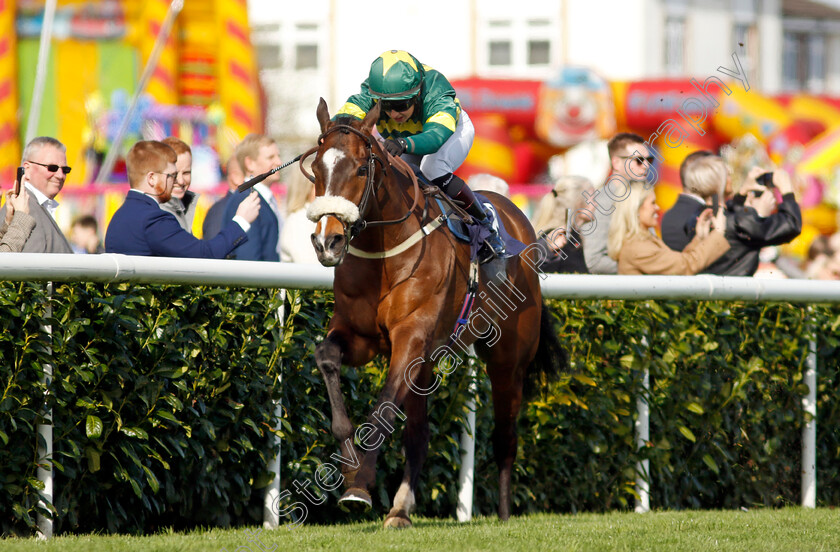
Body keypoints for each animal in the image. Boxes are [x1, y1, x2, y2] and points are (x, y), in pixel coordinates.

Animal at [304, 98, 564, 528]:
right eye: (315, 169)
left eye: (361, 169)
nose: (328, 241)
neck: (384, 249)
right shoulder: (361, 336)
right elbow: (327, 357)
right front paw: (350, 466)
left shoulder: (411, 337)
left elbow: (383, 408)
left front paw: (360, 486)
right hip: (429, 361)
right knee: (419, 435)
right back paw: (400, 508)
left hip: (508, 359)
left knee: (505, 437)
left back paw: (504, 513)